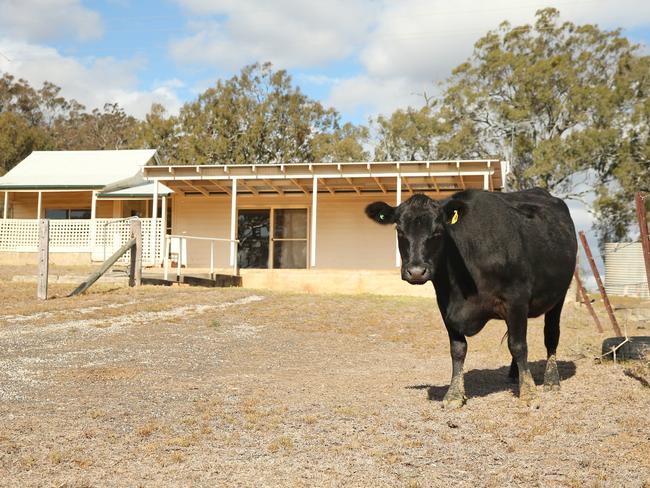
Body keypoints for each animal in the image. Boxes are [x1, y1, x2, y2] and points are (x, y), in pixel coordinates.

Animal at [368, 188, 576, 408]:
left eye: (438, 231)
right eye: (399, 231)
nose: (416, 272)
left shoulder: (516, 298)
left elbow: (518, 346)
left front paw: (529, 393)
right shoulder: (446, 304)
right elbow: (458, 349)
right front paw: (454, 394)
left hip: (559, 295)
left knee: (550, 335)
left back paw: (551, 380)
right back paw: (514, 373)